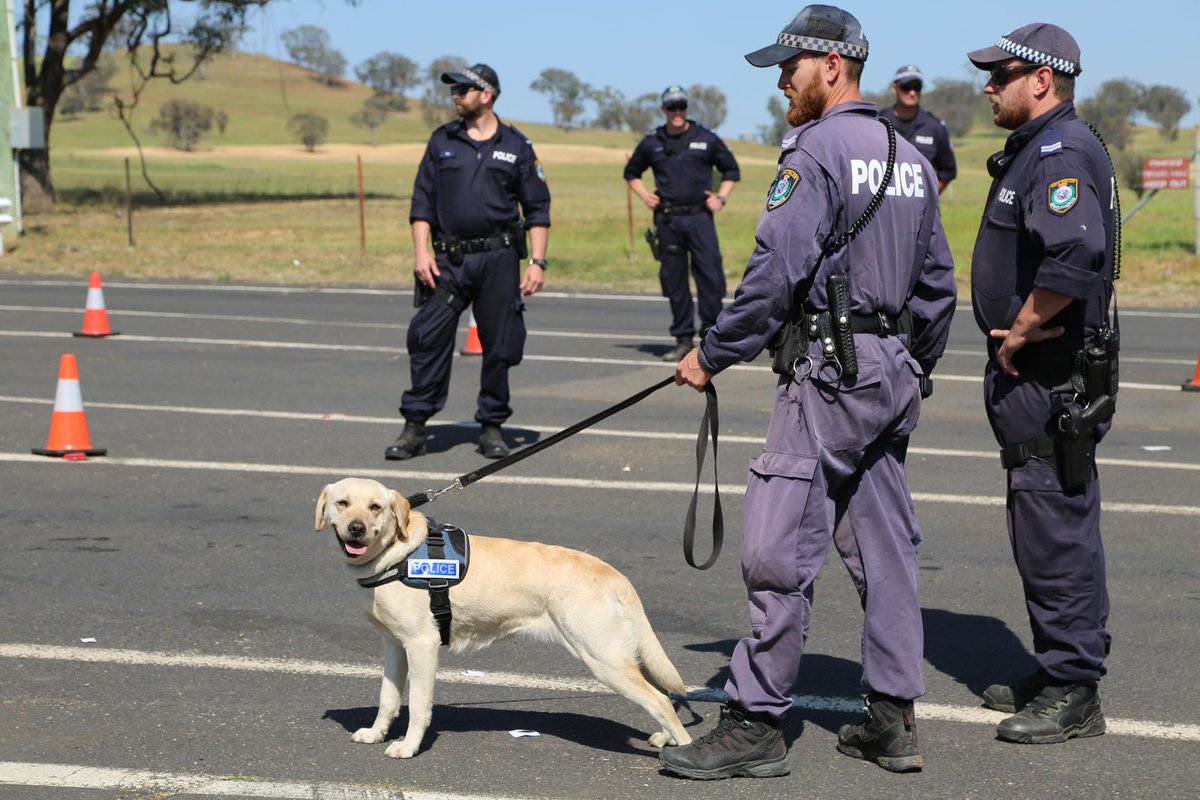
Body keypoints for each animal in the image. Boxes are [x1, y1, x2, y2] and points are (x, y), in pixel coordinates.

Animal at [314, 477, 692, 759]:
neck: (398, 555)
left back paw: (685, 752)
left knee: (661, 700)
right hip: (622, 656)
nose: (357, 529)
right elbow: (388, 698)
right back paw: (666, 739)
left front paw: (408, 746)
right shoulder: (394, 645)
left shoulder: (422, 646)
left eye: (375, 507)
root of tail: (615, 575)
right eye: (342, 503)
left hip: (605, 659)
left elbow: (419, 706)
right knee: (664, 696)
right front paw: (376, 733)